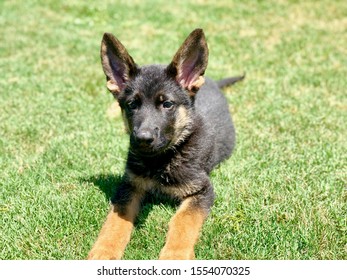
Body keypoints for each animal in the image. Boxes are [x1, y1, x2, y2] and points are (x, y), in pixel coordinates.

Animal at [88, 28, 243, 260]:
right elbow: (116, 220)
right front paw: (104, 250)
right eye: (132, 105)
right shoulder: (129, 185)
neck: (161, 160)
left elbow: (183, 221)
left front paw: (175, 255)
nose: (143, 138)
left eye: (167, 104)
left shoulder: (202, 191)